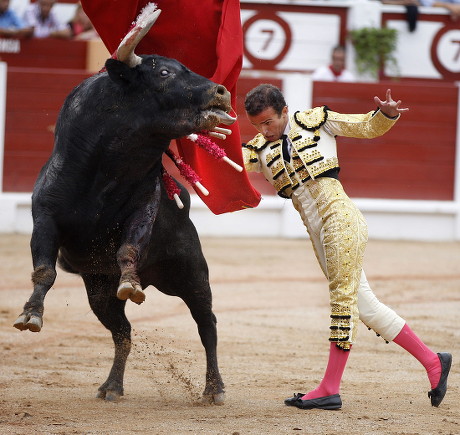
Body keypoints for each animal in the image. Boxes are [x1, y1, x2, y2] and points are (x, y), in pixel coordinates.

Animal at [12, 5, 232, 406]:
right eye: (164, 73)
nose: (221, 91)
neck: (106, 169)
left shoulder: (143, 208)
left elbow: (130, 246)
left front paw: (130, 280)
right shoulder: (44, 216)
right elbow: (44, 270)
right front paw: (30, 316)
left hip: (191, 273)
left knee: (206, 324)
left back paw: (214, 388)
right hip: (100, 293)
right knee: (123, 333)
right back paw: (112, 386)